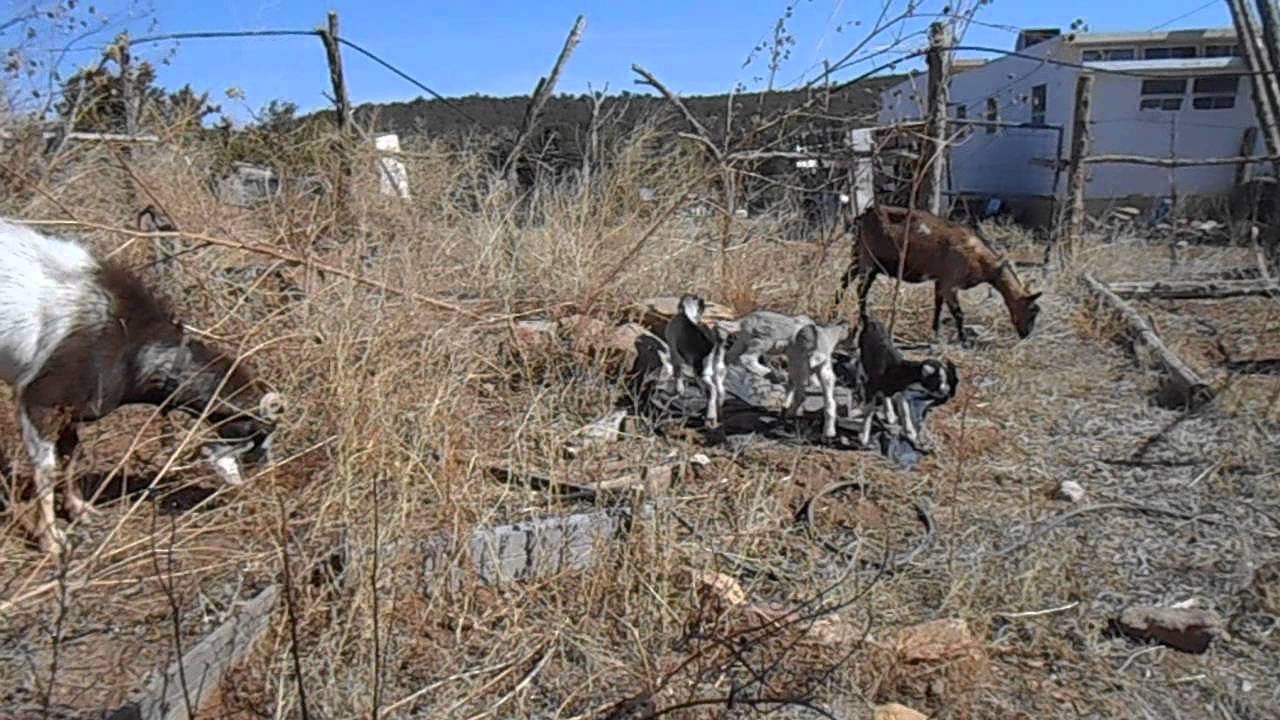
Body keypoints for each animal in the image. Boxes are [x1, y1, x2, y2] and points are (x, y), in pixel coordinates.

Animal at [0, 220, 285, 556]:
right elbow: (46, 468)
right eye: (260, 431)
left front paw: (79, 509)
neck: (131, 345)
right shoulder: (39, 402)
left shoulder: (75, 409)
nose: (262, 474)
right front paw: (51, 539)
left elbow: (72, 455)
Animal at [661, 295, 729, 427]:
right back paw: (718, 414)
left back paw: (710, 417)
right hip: (718, 374)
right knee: (720, 392)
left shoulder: (674, 352)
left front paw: (679, 390)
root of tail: (715, 346)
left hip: (704, 374)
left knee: (712, 391)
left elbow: (678, 373)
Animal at [836, 206, 1042, 345]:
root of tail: (863, 216)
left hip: (858, 256)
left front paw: (936, 332)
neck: (985, 262)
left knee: (844, 281)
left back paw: (835, 310)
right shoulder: (951, 283)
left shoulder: (940, 281)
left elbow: (938, 306)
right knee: (861, 291)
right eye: (1033, 310)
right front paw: (963, 339)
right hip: (868, 261)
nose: (1026, 334)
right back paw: (863, 320)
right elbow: (958, 313)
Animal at [857, 318, 955, 448]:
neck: (899, 370)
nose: (946, 392)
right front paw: (864, 437)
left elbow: (905, 410)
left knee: (887, 395)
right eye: (936, 381)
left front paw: (911, 433)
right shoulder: (871, 387)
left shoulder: (902, 391)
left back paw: (890, 414)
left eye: (946, 379)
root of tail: (871, 321)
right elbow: (869, 411)